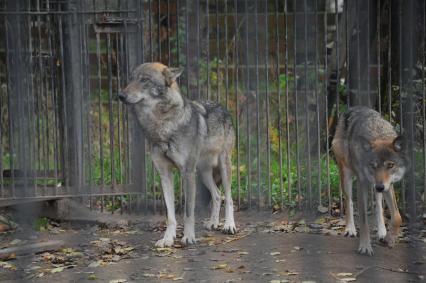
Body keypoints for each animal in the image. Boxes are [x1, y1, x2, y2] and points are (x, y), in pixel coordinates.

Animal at [118, 62, 236, 248]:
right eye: (131, 79)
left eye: (145, 80)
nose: (121, 95)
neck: (163, 125)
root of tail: (222, 107)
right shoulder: (165, 174)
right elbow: (170, 215)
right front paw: (167, 239)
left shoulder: (187, 173)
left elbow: (188, 212)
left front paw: (188, 238)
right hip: (203, 173)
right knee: (218, 195)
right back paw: (213, 223)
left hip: (223, 166)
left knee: (229, 197)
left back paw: (229, 225)